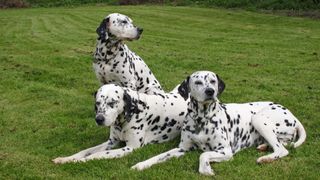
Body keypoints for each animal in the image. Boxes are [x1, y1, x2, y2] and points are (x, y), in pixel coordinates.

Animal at [52, 83, 188, 164]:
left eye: (112, 103)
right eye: (97, 103)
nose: (99, 119)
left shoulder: (130, 148)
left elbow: (96, 154)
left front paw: (79, 161)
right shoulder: (111, 142)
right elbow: (85, 151)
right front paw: (67, 159)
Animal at [131, 70, 306, 176]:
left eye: (213, 81)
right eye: (198, 82)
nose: (210, 91)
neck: (201, 119)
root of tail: (293, 115)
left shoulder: (225, 151)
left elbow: (204, 154)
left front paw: (205, 168)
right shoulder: (182, 149)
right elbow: (159, 156)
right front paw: (141, 165)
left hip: (259, 119)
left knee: (282, 150)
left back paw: (266, 158)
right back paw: (264, 147)